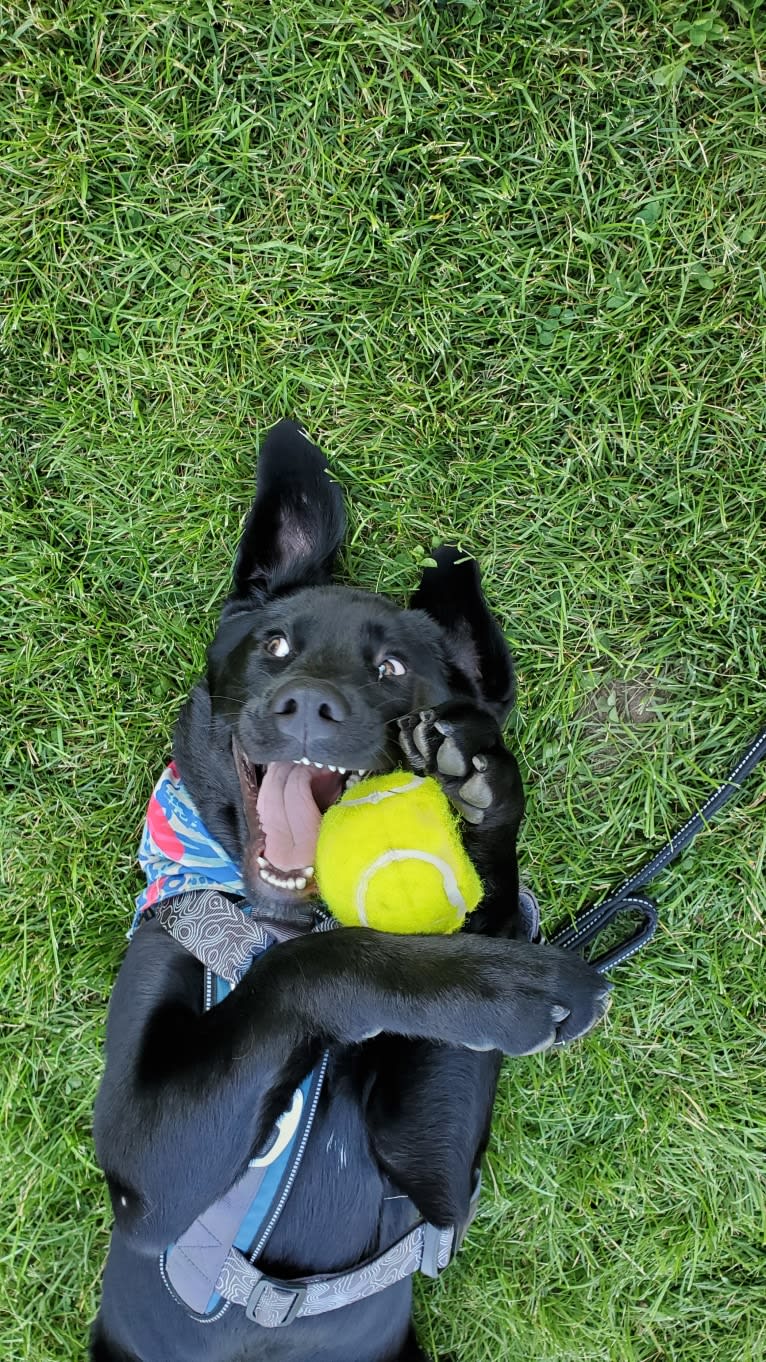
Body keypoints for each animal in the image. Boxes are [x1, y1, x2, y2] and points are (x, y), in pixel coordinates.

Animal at [89, 422, 605, 1362]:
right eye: (274, 646)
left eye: (394, 666)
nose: (307, 706)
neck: (278, 925)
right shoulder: (143, 1175)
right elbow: (317, 967)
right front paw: (505, 989)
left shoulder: (435, 1187)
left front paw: (478, 794)